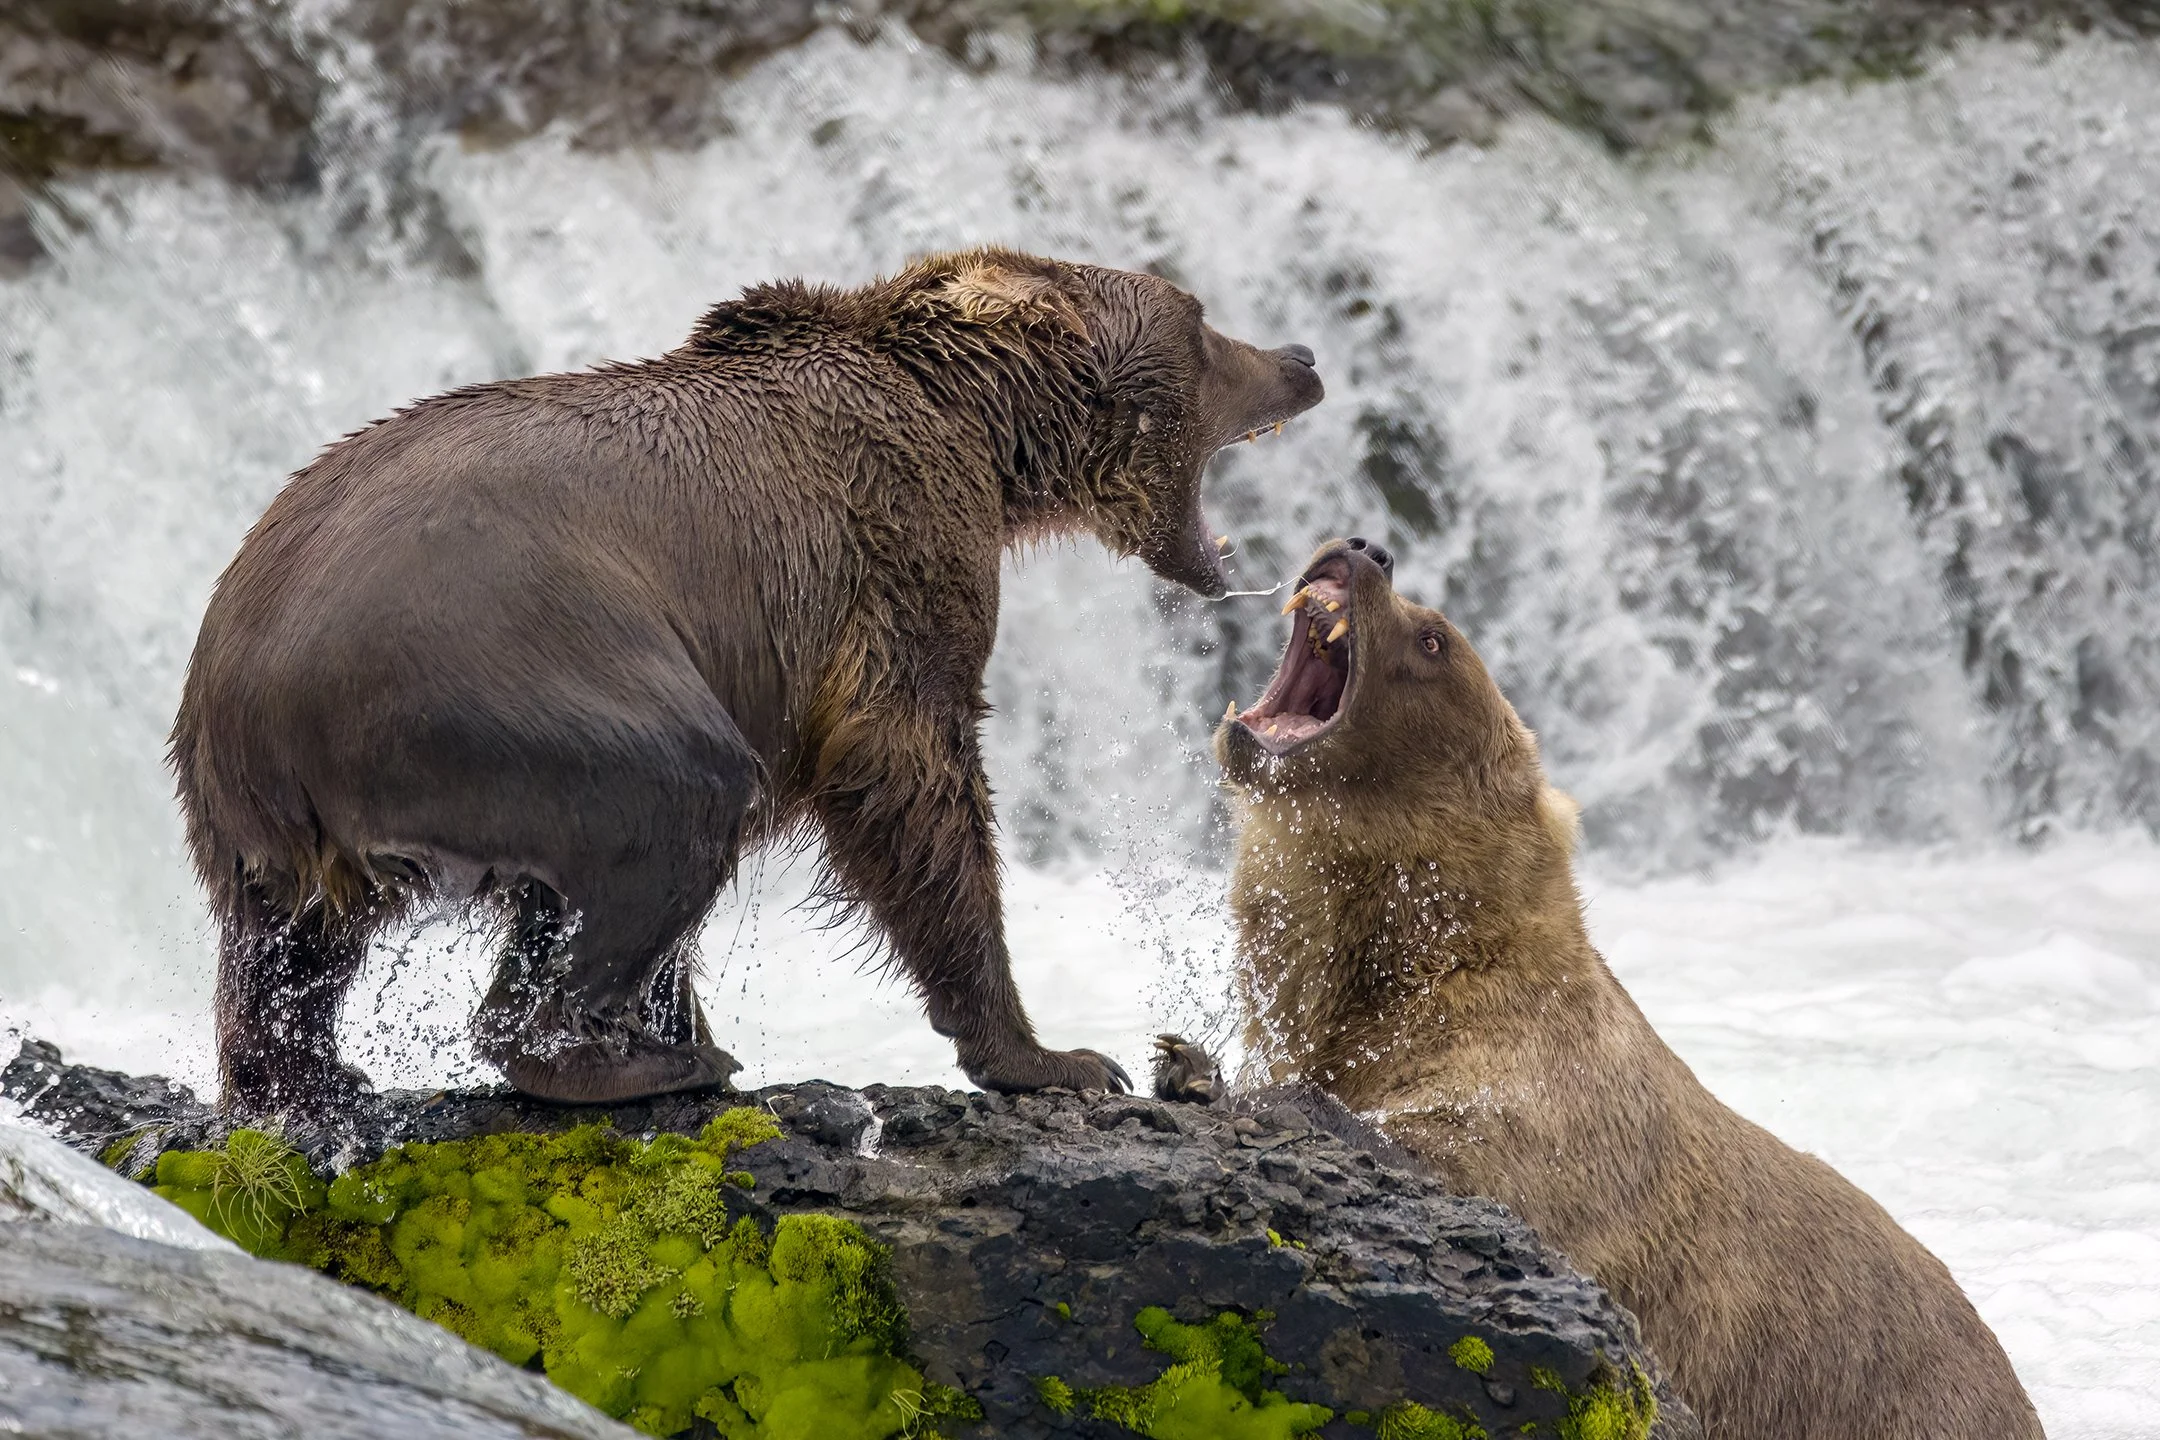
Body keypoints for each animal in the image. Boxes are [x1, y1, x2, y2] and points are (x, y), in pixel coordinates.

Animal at [170, 248, 1323, 1113]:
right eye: (1201, 319)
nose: (1303, 355)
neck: (985, 428)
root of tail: (254, 687)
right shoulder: (892, 549)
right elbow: (913, 774)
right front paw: (1058, 1057)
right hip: (497, 685)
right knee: (675, 798)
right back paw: (628, 1061)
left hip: (259, 814)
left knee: (290, 950)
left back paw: (313, 1076)